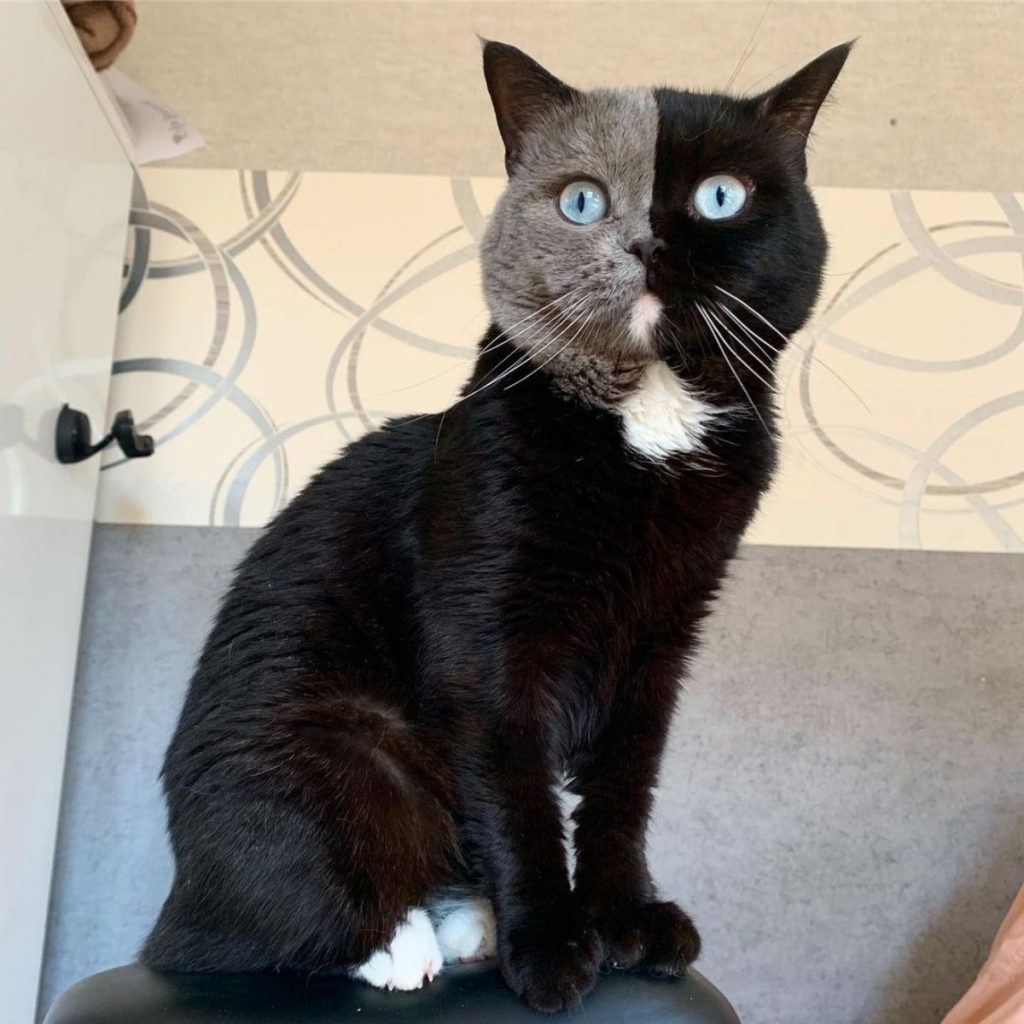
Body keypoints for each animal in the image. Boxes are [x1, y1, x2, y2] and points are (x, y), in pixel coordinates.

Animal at [142, 37, 847, 1007]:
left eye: (720, 195)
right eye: (583, 199)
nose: (643, 242)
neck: (647, 414)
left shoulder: (664, 636)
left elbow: (624, 788)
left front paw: (626, 918)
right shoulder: (485, 636)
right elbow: (516, 797)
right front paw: (549, 945)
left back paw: (464, 921)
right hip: (348, 743)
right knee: (241, 936)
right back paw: (403, 945)